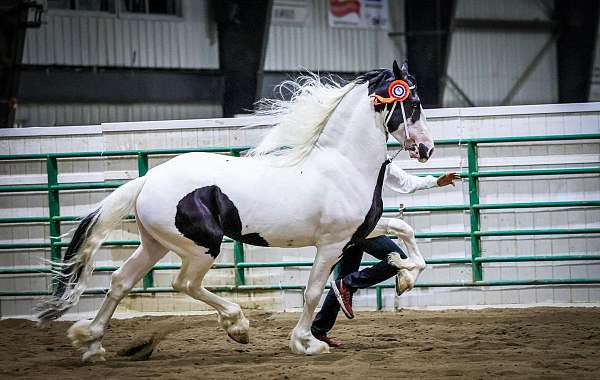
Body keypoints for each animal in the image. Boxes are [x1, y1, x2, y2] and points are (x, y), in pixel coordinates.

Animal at [35, 60, 434, 360]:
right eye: (413, 102)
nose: (426, 149)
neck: (344, 164)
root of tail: (147, 180)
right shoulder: (332, 244)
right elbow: (311, 292)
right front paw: (306, 344)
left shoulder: (358, 231)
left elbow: (404, 231)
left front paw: (404, 274)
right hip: (201, 247)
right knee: (185, 283)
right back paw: (237, 326)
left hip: (155, 244)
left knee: (121, 281)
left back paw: (91, 344)